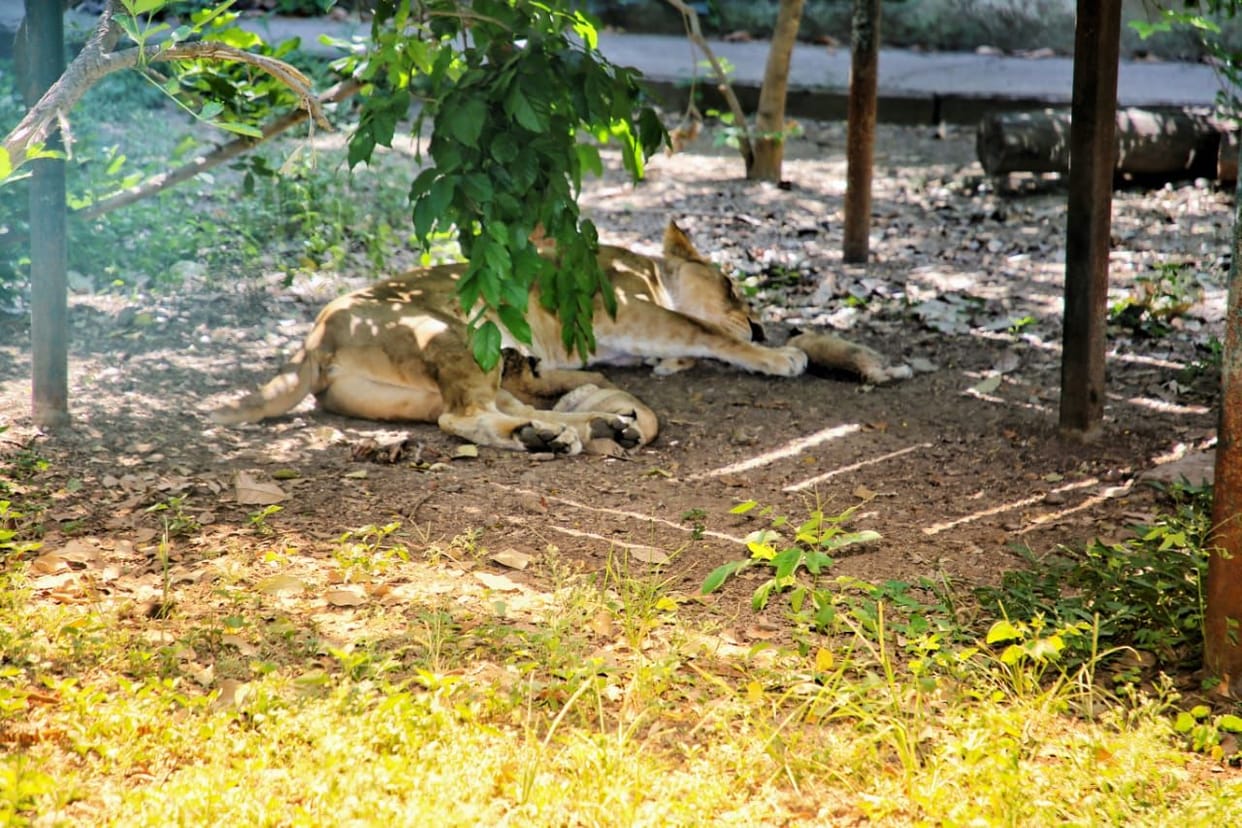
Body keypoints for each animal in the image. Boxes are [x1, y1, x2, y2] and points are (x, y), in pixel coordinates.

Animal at [209, 221, 909, 455]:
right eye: (733, 286)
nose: (762, 321)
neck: (647, 270)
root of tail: (312, 342)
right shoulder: (631, 313)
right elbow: (703, 330)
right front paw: (775, 352)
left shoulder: (626, 342)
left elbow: (681, 347)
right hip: (452, 333)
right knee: (463, 418)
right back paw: (555, 435)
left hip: (430, 381)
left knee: (481, 410)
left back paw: (573, 428)